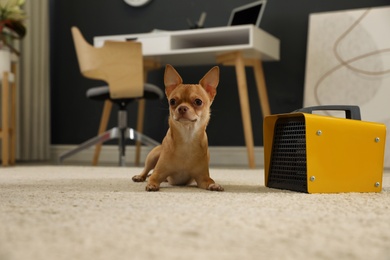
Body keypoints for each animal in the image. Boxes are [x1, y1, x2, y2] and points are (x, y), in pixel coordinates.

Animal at [133, 64, 222, 192]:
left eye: (198, 102)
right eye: (172, 101)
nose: (182, 108)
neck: (187, 137)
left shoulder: (202, 178)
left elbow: (210, 181)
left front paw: (214, 185)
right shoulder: (158, 173)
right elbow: (153, 178)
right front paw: (151, 185)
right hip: (153, 156)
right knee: (146, 170)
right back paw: (140, 176)